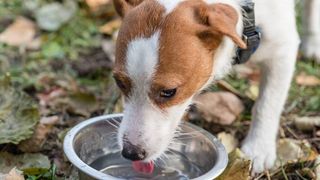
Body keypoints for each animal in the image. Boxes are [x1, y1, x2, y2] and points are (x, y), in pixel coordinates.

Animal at [110, 0, 318, 173]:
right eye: (119, 82)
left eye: (169, 92)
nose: (131, 153)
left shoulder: (282, 50)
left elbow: (267, 105)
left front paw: (258, 148)